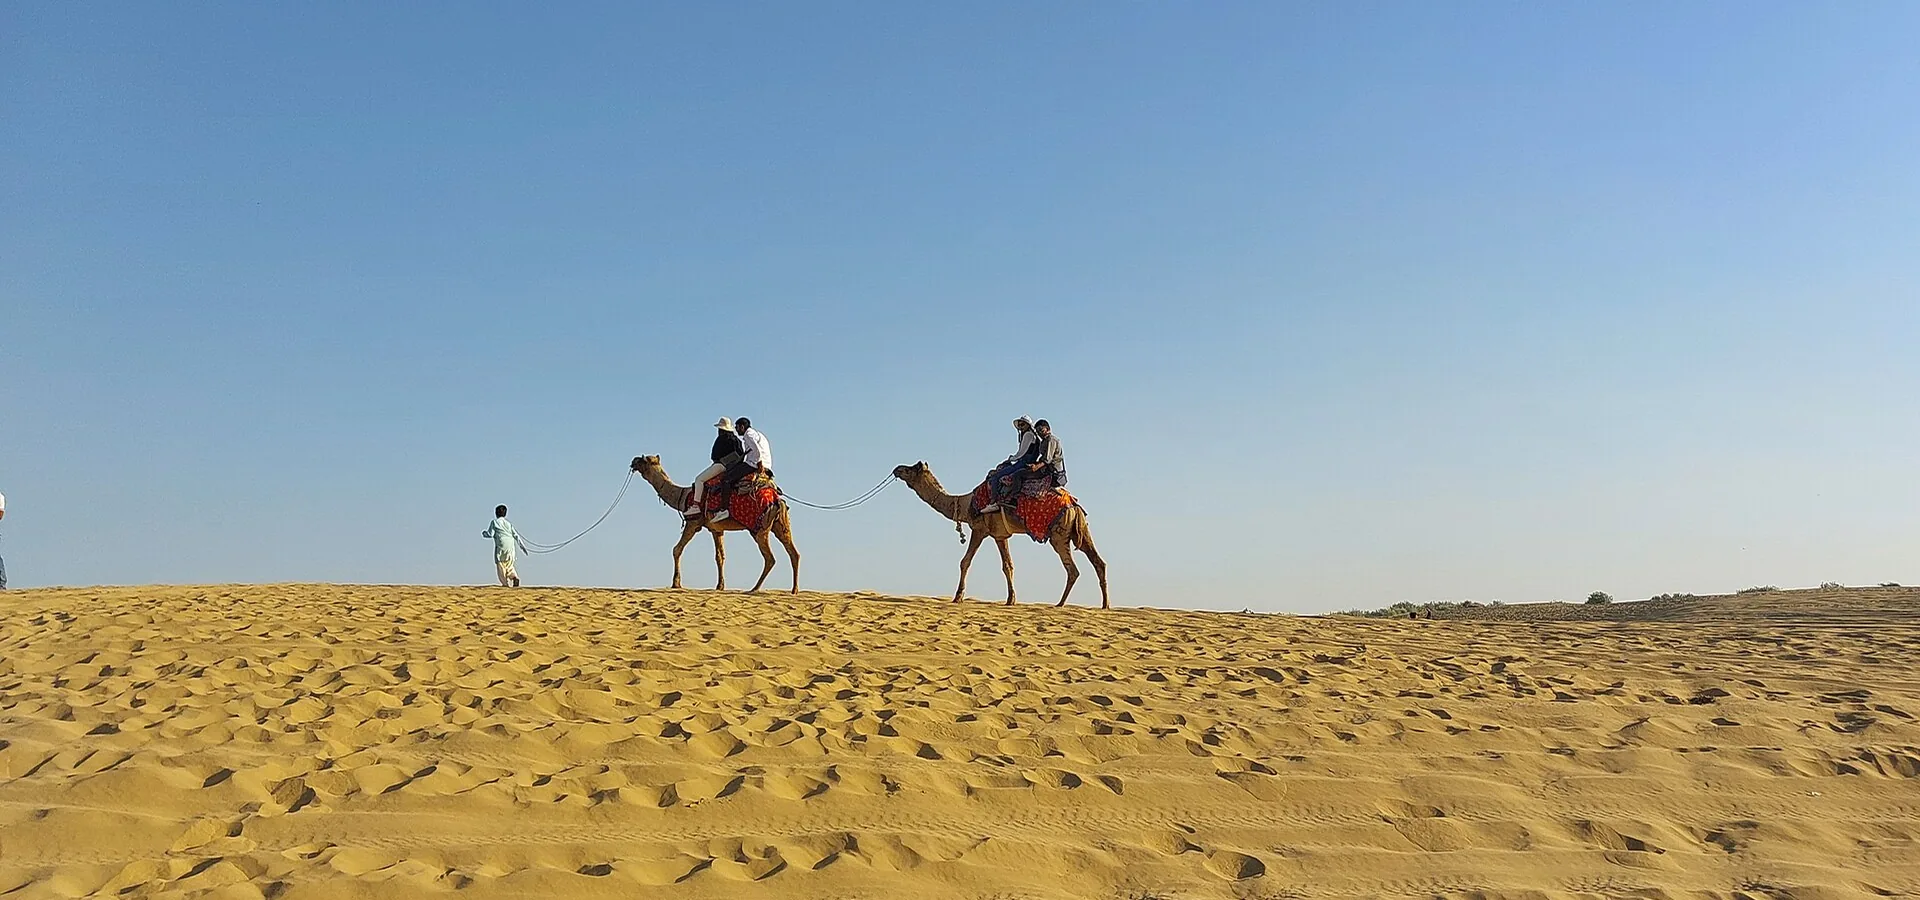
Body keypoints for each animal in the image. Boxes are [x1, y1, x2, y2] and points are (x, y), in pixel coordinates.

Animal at [629, 456, 800, 594]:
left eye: (644, 460)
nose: (633, 461)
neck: (683, 496)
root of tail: (776, 499)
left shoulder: (693, 523)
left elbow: (677, 549)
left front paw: (676, 583)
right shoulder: (716, 529)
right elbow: (720, 556)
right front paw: (720, 586)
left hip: (760, 527)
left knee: (770, 558)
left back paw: (754, 589)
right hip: (780, 524)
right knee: (793, 553)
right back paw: (794, 590)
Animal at [891, 461, 1109, 609]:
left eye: (911, 469)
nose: (897, 469)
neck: (965, 504)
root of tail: (1074, 506)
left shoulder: (979, 529)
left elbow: (965, 561)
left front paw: (958, 597)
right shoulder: (1000, 535)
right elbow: (1008, 566)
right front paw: (1011, 600)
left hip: (1058, 534)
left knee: (1073, 569)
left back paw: (1060, 604)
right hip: (1080, 530)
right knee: (1098, 561)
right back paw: (1105, 605)